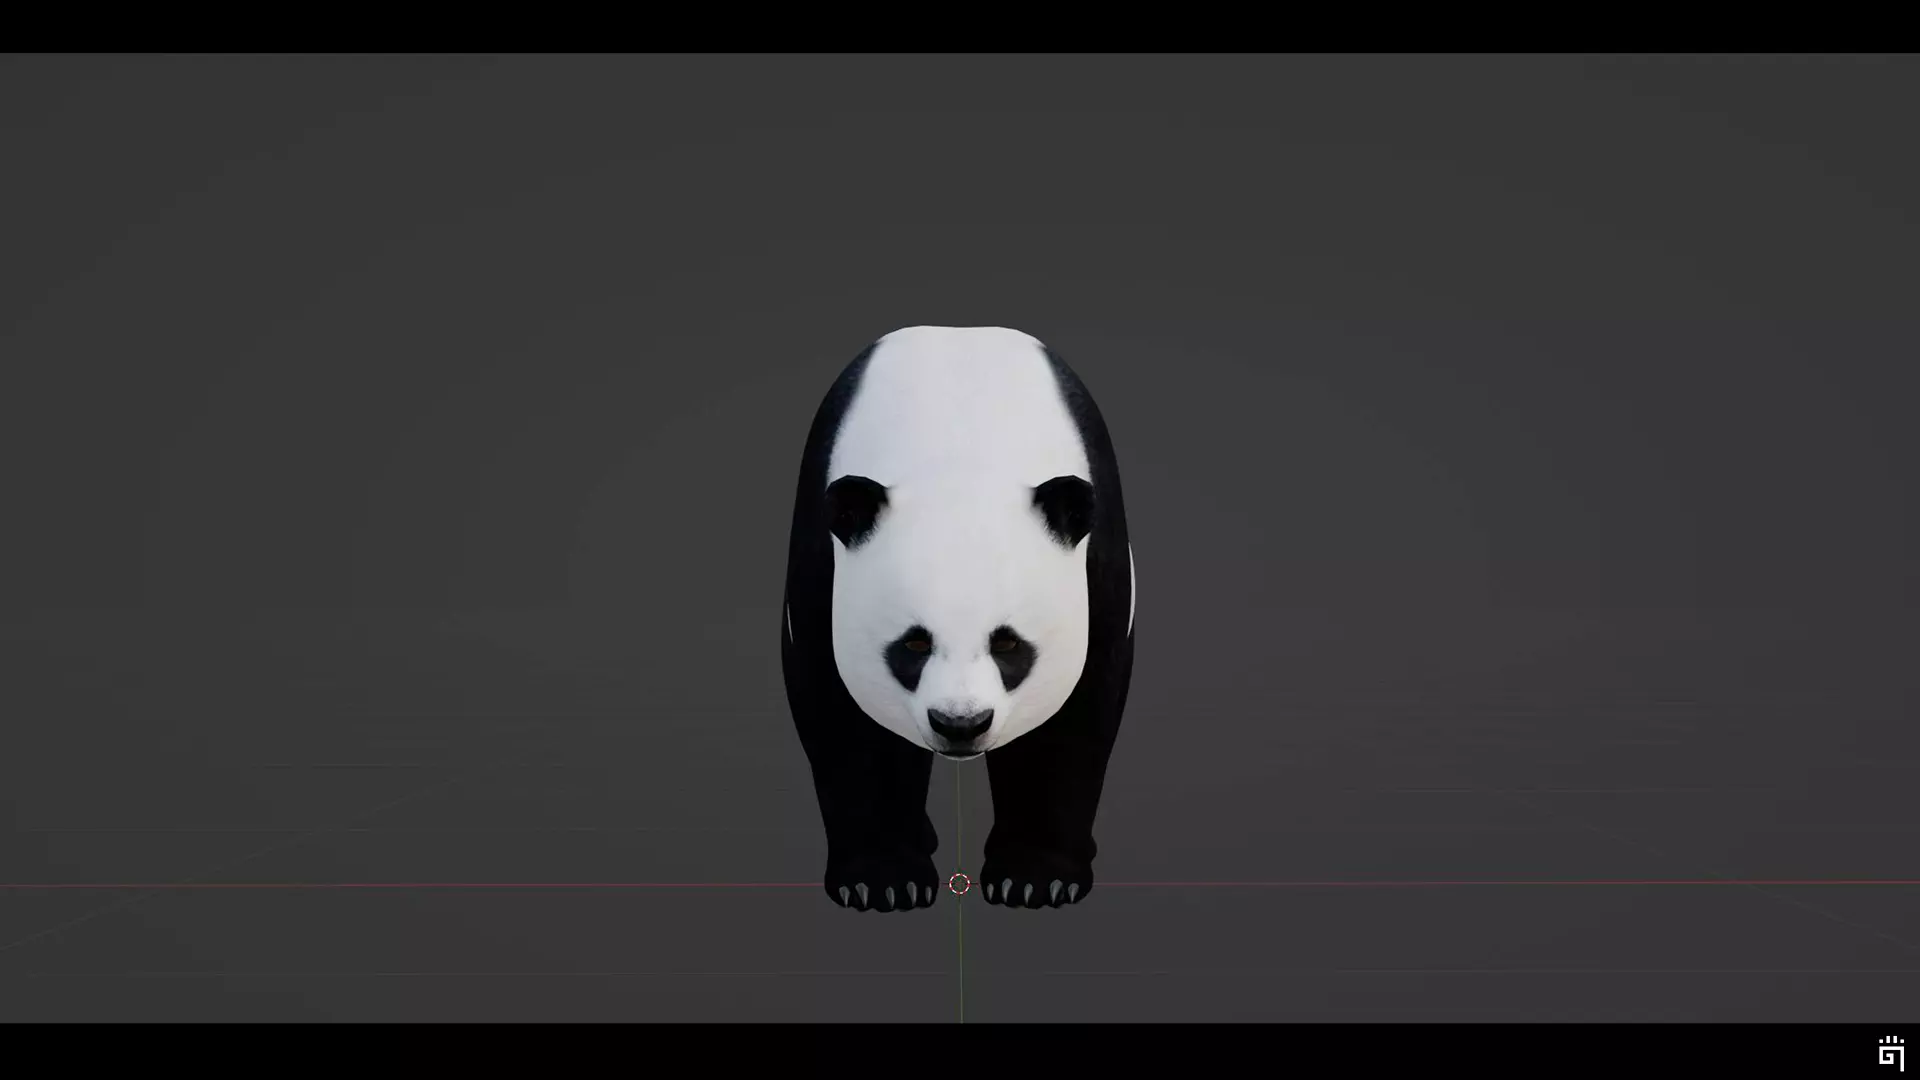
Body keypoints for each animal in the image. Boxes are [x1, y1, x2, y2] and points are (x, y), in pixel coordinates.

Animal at [780, 325, 1135, 912]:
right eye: (914, 645)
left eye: (1009, 646)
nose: (960, 724)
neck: (960, 464)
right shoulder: (821, 565)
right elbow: (840, 713)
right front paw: (882, 880)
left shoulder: (1097, 569)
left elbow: (1075, 715)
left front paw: (1035, 879)